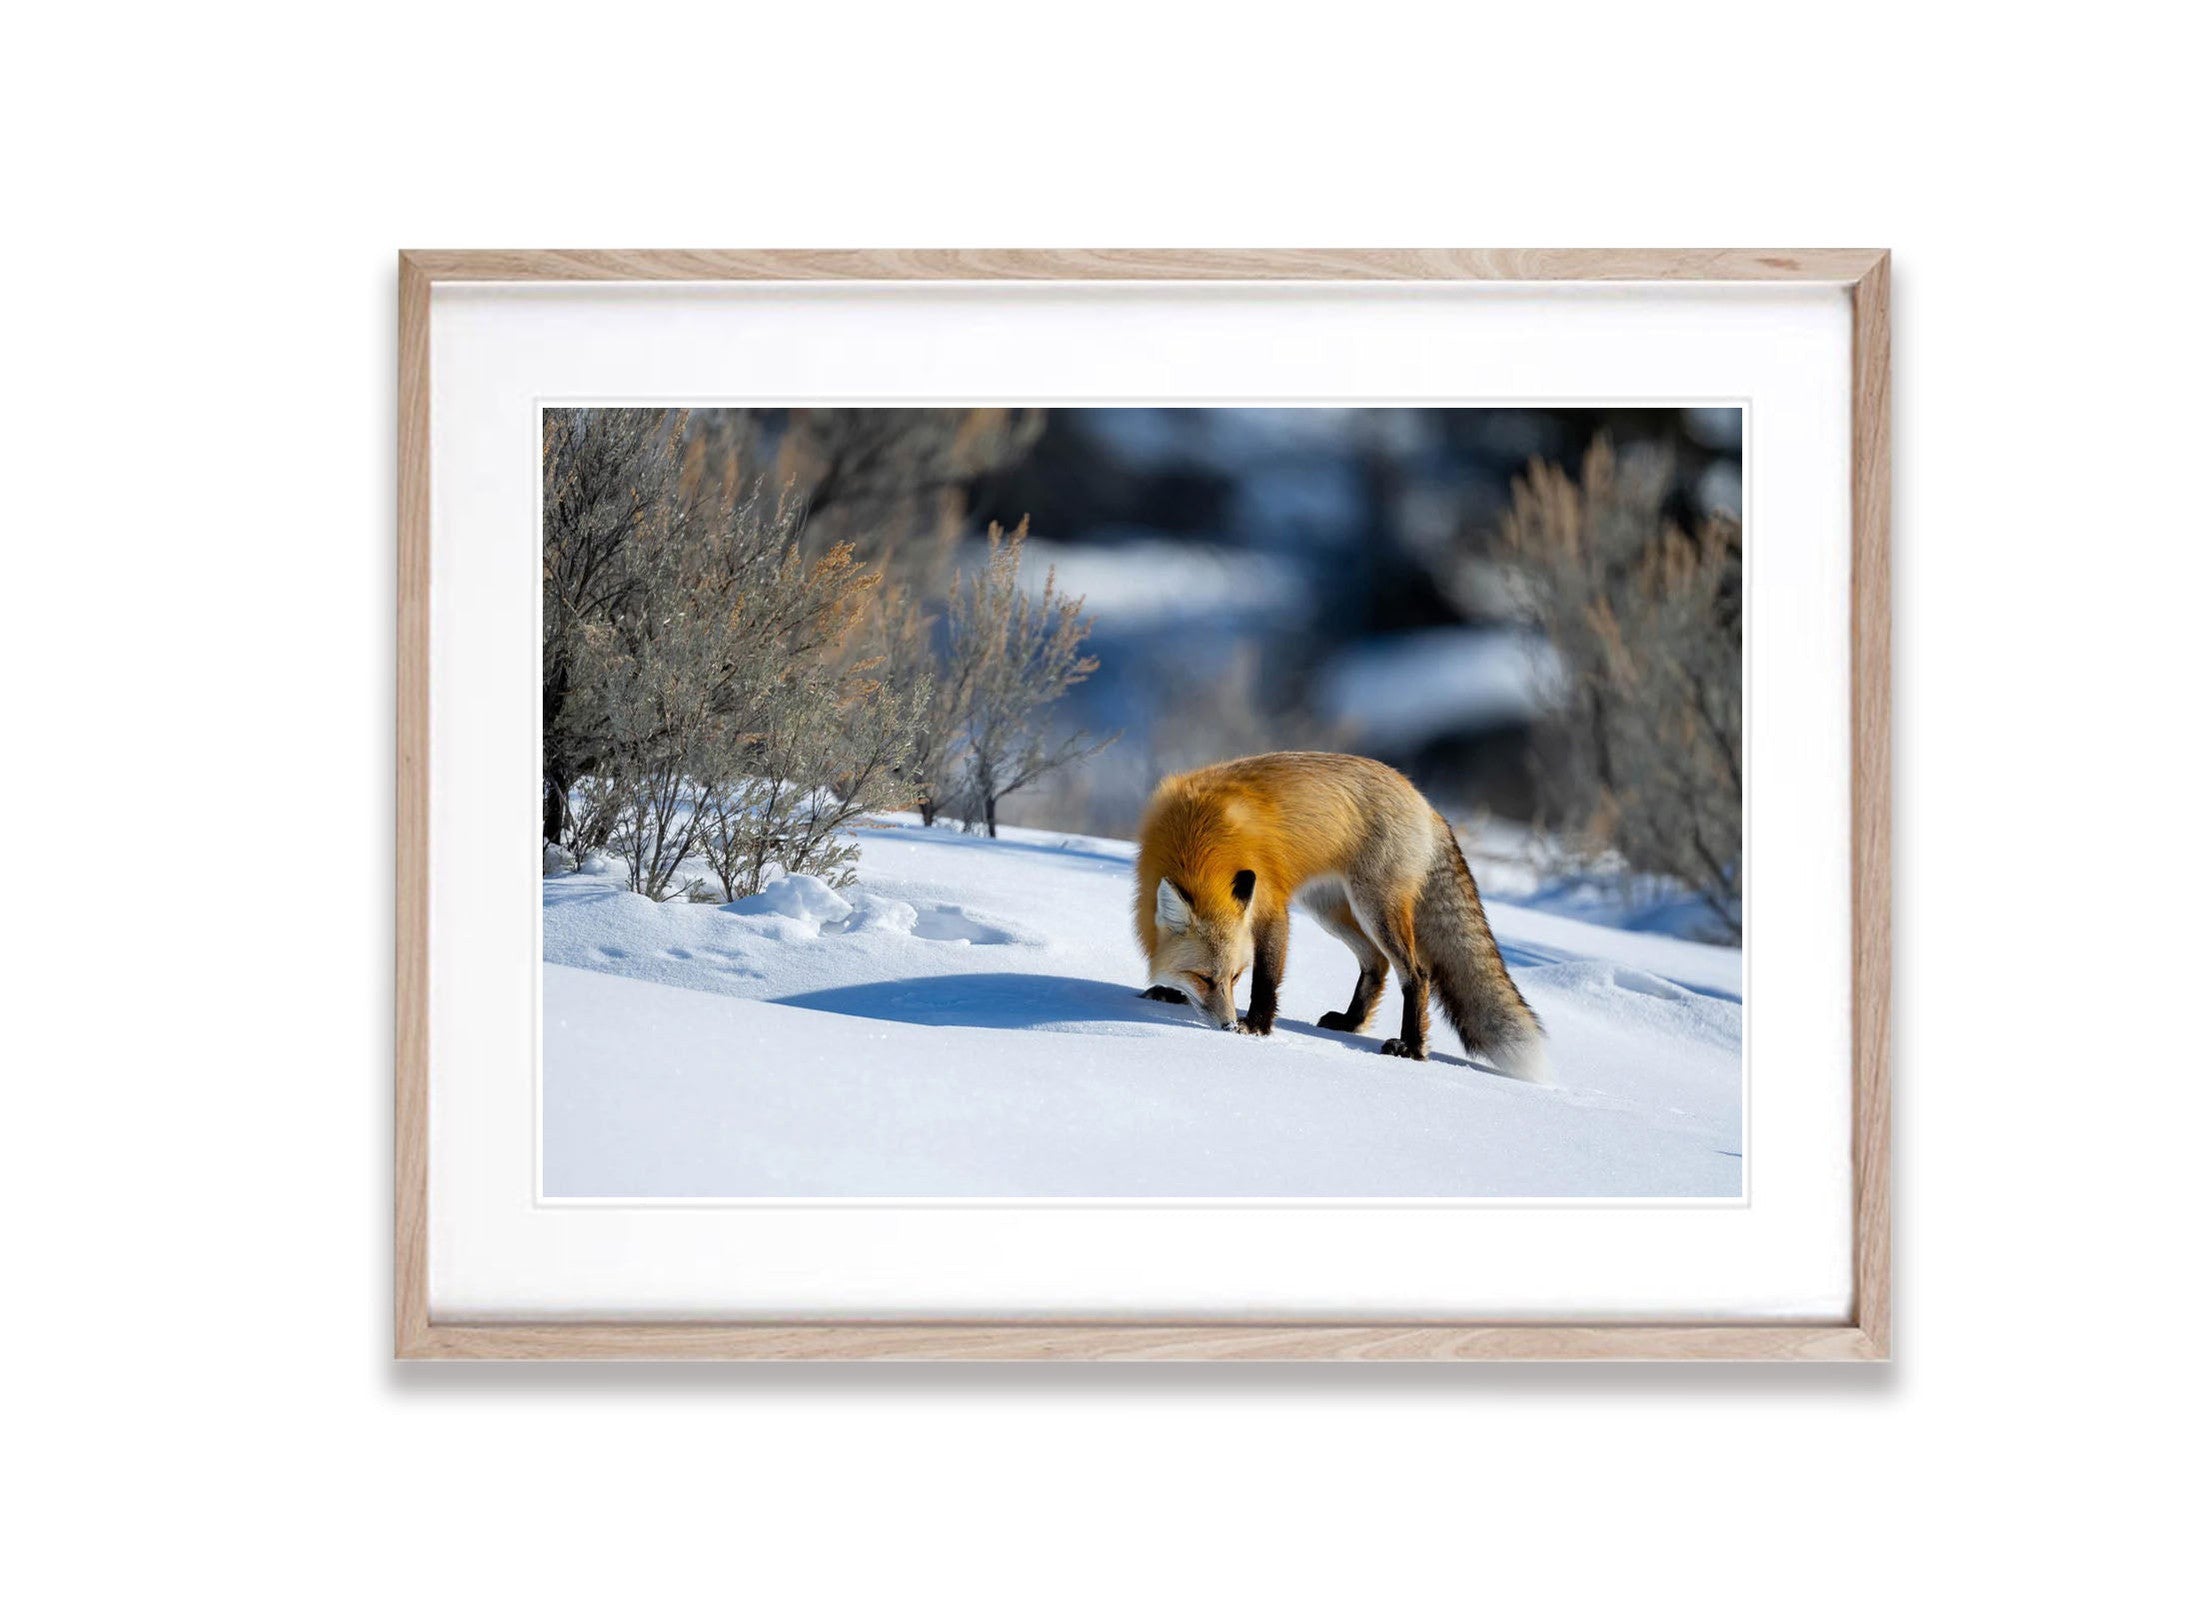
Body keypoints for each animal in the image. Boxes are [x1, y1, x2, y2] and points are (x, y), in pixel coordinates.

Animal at [1133, 751, 1546, 1080]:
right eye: (1204, 978)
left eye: (1236, 976)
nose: (1228, 1024)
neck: (1199, 839)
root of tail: (1425, 803)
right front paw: (1171, 992)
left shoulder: (1271, 906)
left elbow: (1267, 978)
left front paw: (1258, 1026)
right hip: (1330, 910)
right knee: (1376, 963)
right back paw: (1351, 1021)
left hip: (1375, 907)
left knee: (1415, 972)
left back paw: (1412, 1048)